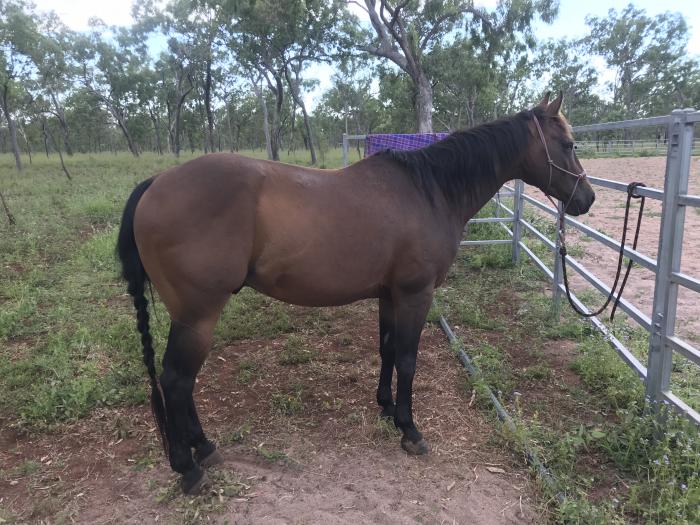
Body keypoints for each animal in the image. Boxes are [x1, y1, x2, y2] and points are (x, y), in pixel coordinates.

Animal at [116, 92, 595, 494]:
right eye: (568, 144)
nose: (586, 199)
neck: (429, 191)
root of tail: (155, 183)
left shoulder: (388, 294)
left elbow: (387, 350)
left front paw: (385, 407)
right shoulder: (415, 294)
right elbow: (408, 358)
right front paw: (410, 430)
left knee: (179, 383)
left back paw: (204, 449)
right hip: (198, 314)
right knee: (176, 381)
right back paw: (189, 467)